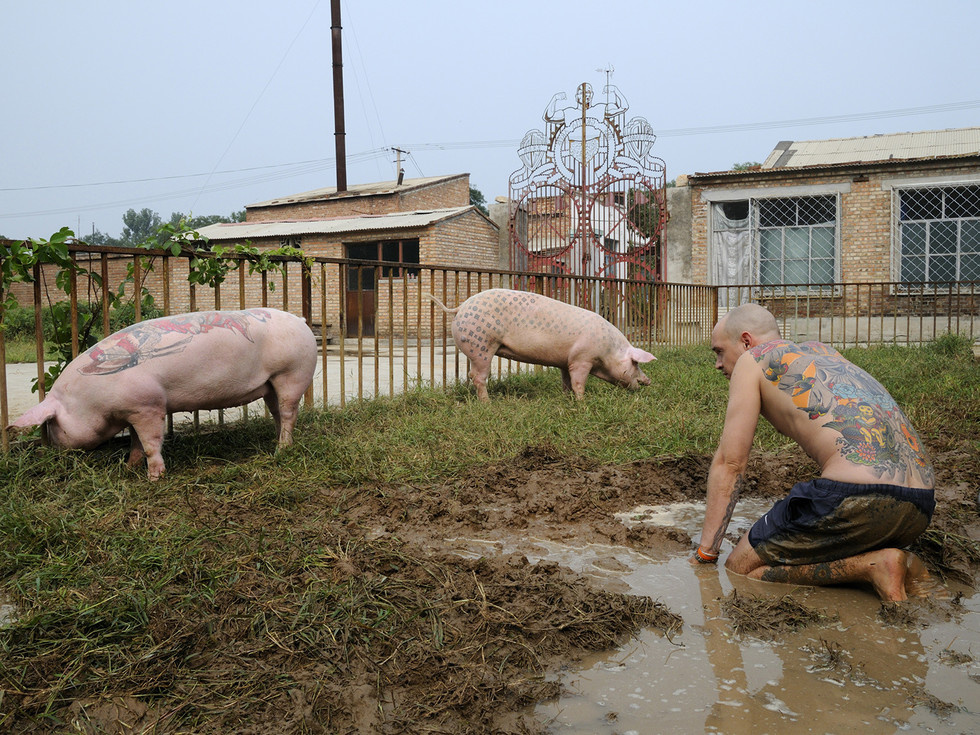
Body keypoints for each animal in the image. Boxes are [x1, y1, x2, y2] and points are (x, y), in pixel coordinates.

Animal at [9, 308, 320, 480]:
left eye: (52, 423)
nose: (52, 451)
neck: (91, 399)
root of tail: (301, 321)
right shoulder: (133, 411)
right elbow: (135, 442)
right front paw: (128, 468)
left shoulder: (149, 405)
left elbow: (150, 443)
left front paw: (154, 478)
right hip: (270, 384)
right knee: (278, 412)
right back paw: (277, 442)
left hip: (293, 373)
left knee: (289, 412)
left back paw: (281, 450)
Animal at [430, 288, 656, 402]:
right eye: (636, 363)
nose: (649, 380)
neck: (608, 351)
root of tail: (460, 307)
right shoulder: (582, 358)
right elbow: (578, 382)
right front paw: (582, 402)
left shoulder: (566, 361)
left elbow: (566, 382)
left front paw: (567, 398)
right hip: (482, 345)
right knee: (477, 376)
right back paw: (487, 404)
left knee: (472, 375)